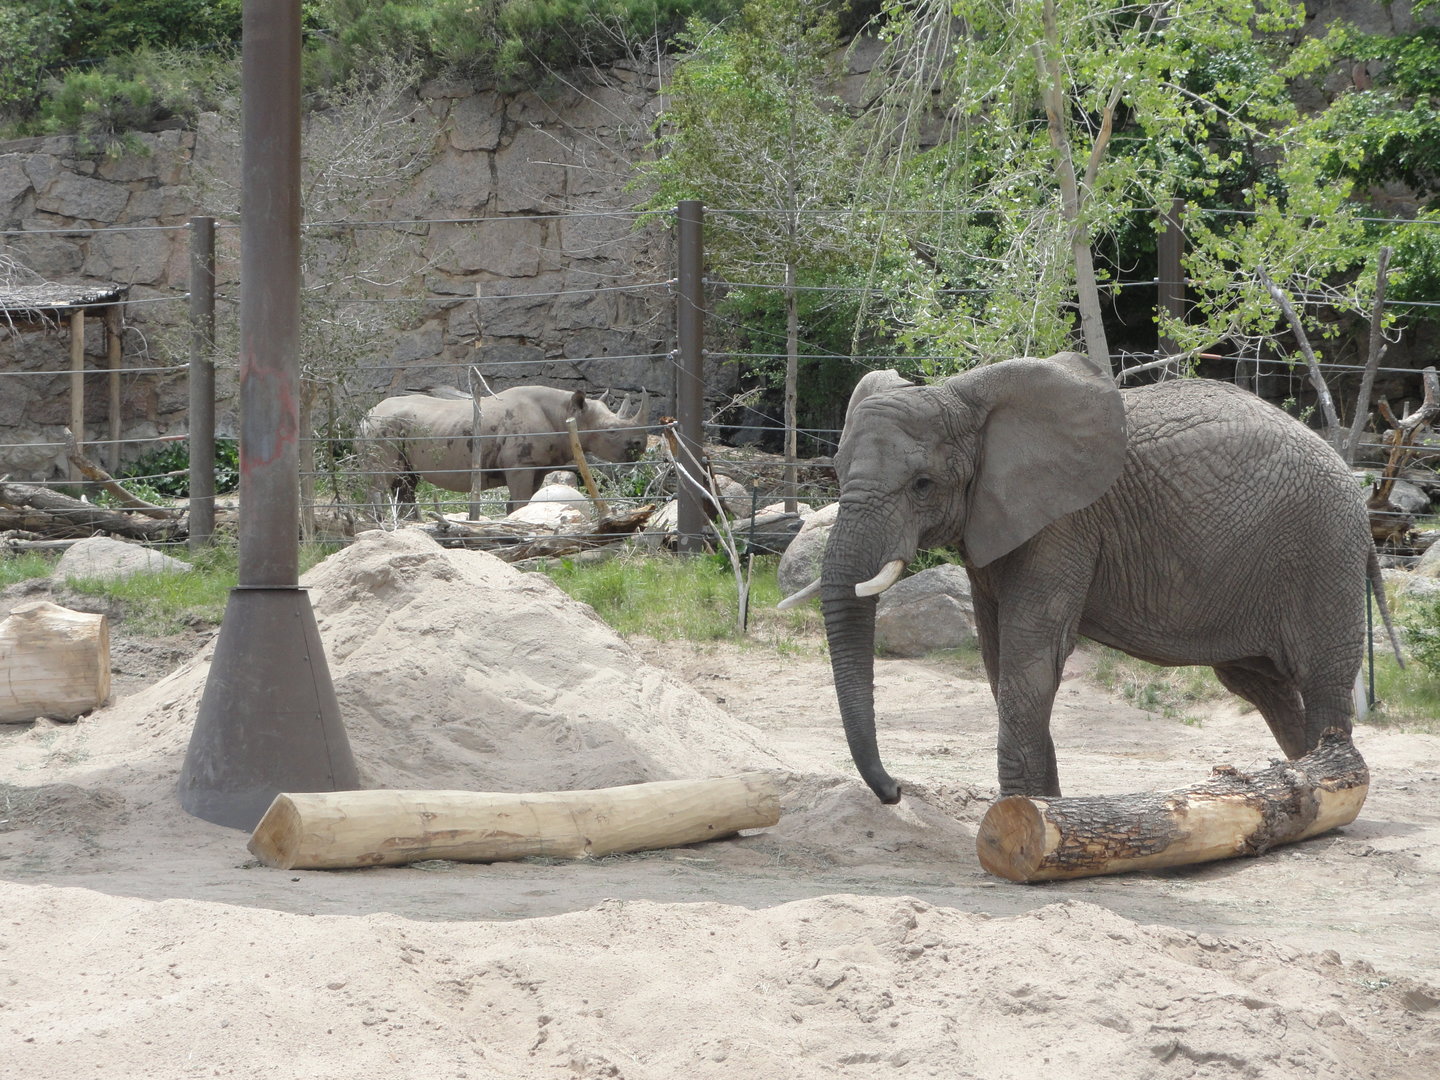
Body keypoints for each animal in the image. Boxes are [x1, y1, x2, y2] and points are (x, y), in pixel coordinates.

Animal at [360, 384, 650, 515]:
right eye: (611, 431)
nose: (641, 444)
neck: (566, 413)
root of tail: (365, 415)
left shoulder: (536, 465)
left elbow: (520, 502)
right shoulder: (520, 464)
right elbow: (521, 500)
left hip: (396, 428)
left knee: (405, 482)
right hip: (379, 428)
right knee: (382, 480)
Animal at [781, 351, 1400, 803]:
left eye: (922, 485)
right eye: (835, 470)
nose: (895, 791)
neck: (961, 394)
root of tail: (1360, 494)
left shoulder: (1066, 523)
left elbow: (1031, 655)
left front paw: (1024, 809)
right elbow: (998, 656)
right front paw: (1046, 809)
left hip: (1324, 552)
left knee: (1318, 679)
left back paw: (1334, 792)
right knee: (1260, 683)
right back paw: (1300, 785)